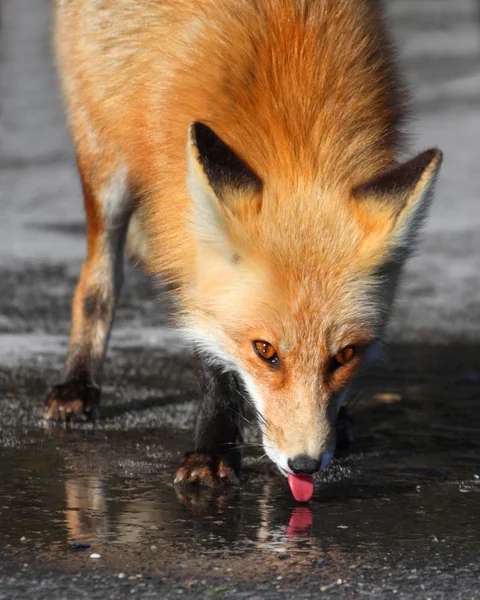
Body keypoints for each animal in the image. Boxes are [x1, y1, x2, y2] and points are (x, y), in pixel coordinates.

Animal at [46, 0, 442, 500]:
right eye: (264, 350)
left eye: (345, 356)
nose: (305, 465)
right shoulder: (181, 225)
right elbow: (210, 353)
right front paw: (213, 451)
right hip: (104, 159)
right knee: (97, 282)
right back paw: (78, 382)